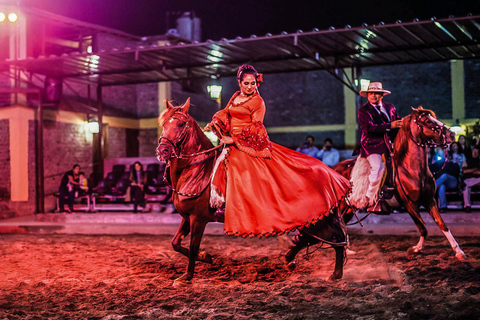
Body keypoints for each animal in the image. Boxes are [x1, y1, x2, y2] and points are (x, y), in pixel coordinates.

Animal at [158, 99, 348, 284]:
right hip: (314, 219)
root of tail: (330, 173)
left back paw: (334, 274)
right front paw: (205, 257)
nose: (163, 151)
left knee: (335, 238)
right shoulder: (187, 217)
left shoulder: (198, 219)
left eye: (181, 124)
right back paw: (293, 260)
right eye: (164, 123)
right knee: (317, 238)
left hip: (316, 218)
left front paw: (187, 276)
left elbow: (192, 247)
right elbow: (175, 243)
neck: (198, 171)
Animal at [332, 107, 466, 260]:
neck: (411, 169)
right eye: (427, 121)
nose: (451, 134)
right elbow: (423, 228)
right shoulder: (409, 204)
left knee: (342, 224)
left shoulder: (429, 200)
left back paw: (346, 250)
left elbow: (442, 225)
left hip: (349, 208)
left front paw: (459, 252)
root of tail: (332, 168)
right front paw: (414, 250)